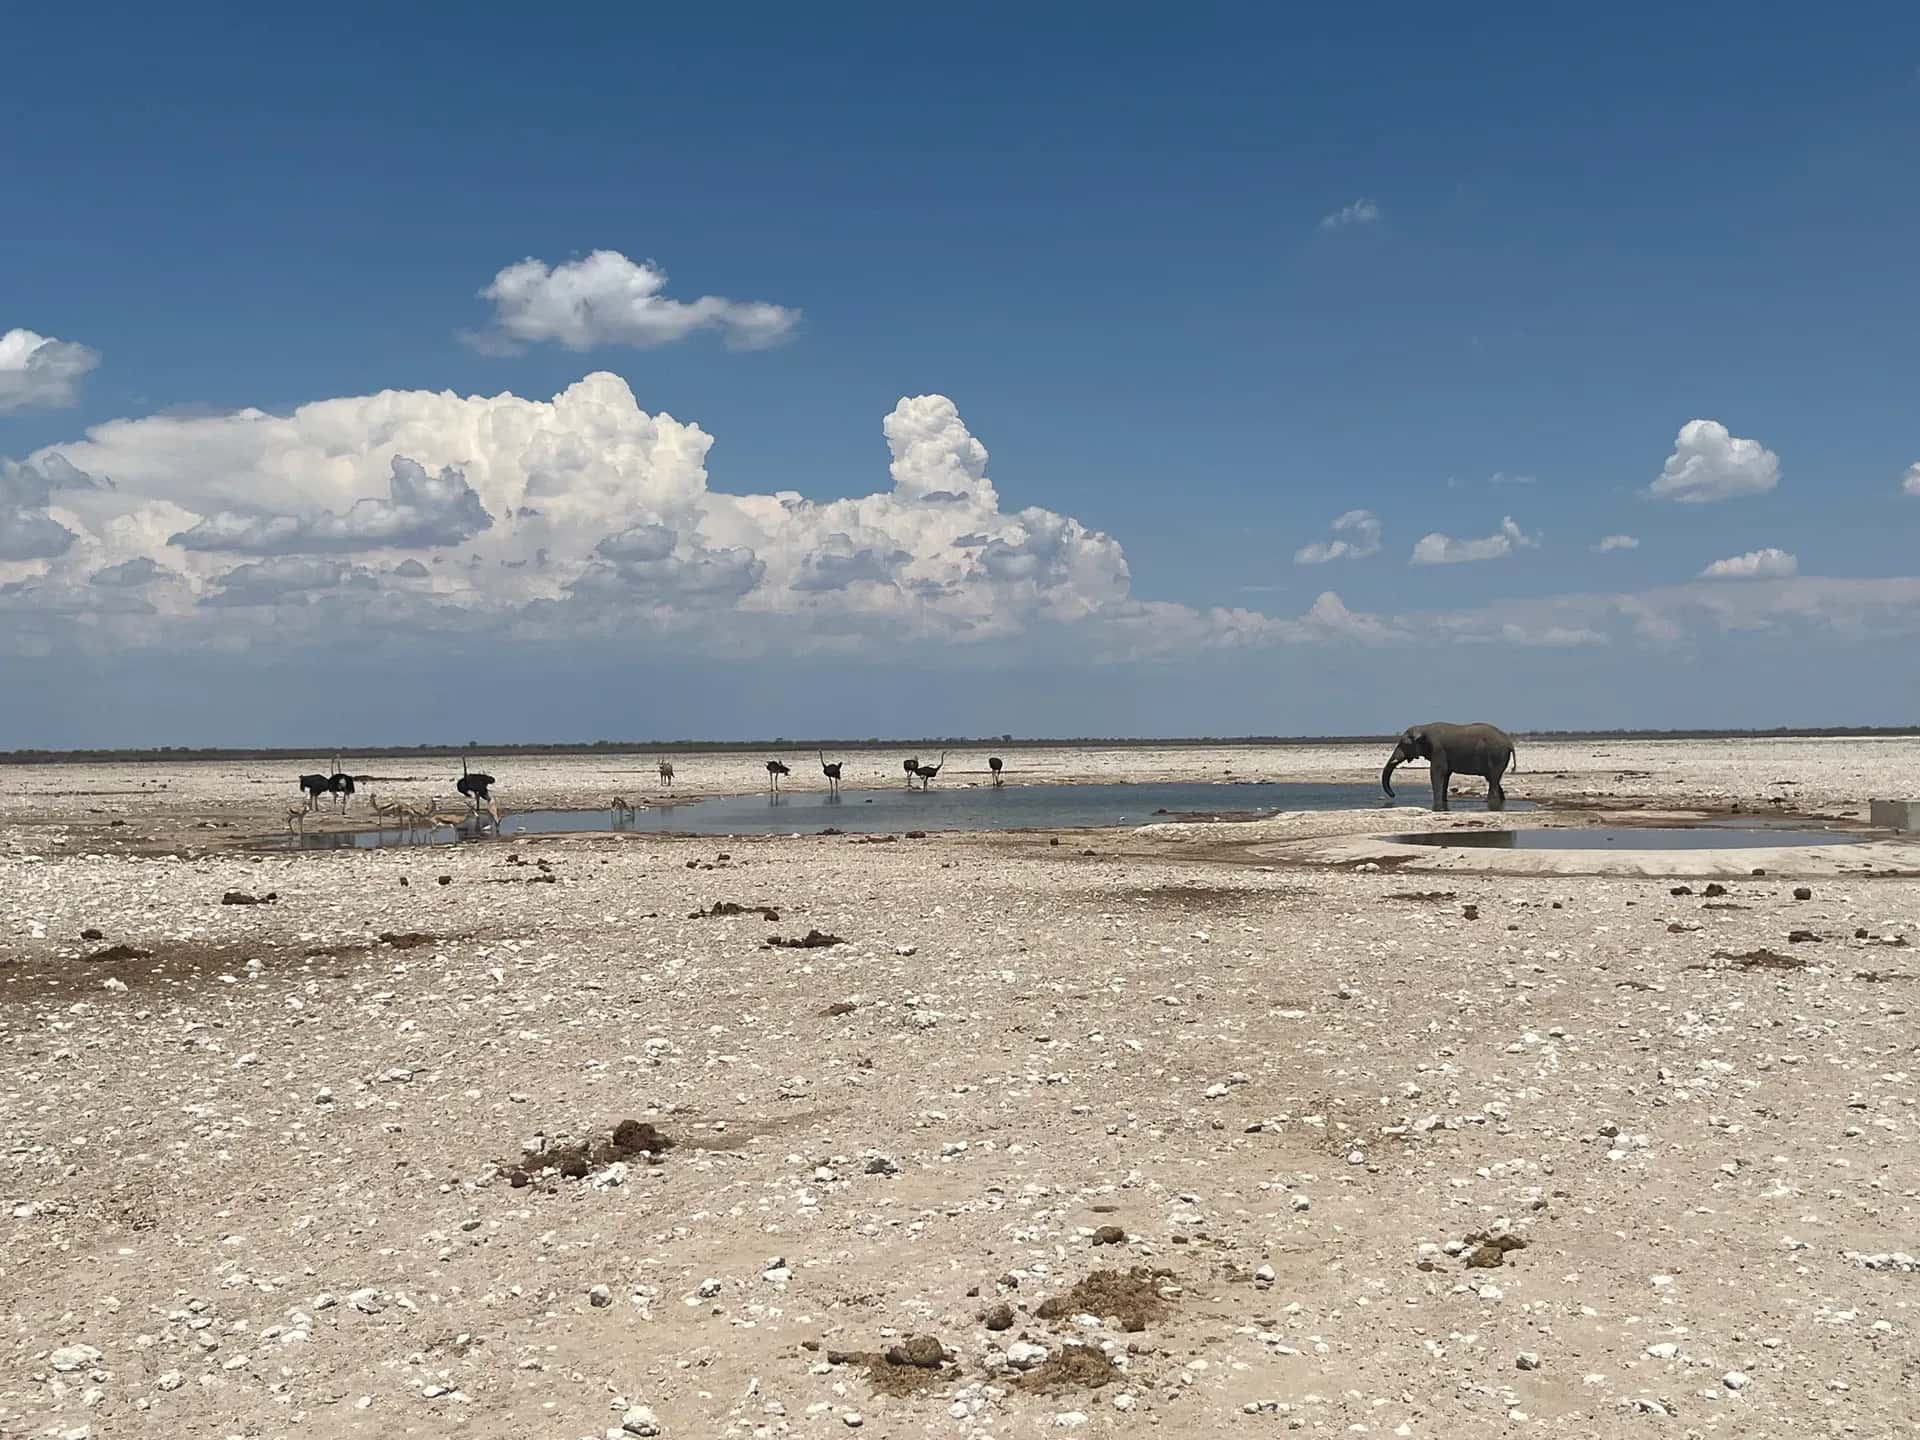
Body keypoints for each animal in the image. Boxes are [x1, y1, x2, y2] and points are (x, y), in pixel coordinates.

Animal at [1381, 722, 1517, 812]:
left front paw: (1437, 805)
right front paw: (1443, 803)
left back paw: (1488, 802)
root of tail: (1509, 742)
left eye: (1403, 744)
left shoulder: (1438, 750)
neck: (1423, 728)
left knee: (1493, 780)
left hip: (1497, 755)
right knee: (1494, 780)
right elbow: (1445, 775)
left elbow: (1436, 773)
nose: (1393, 795)